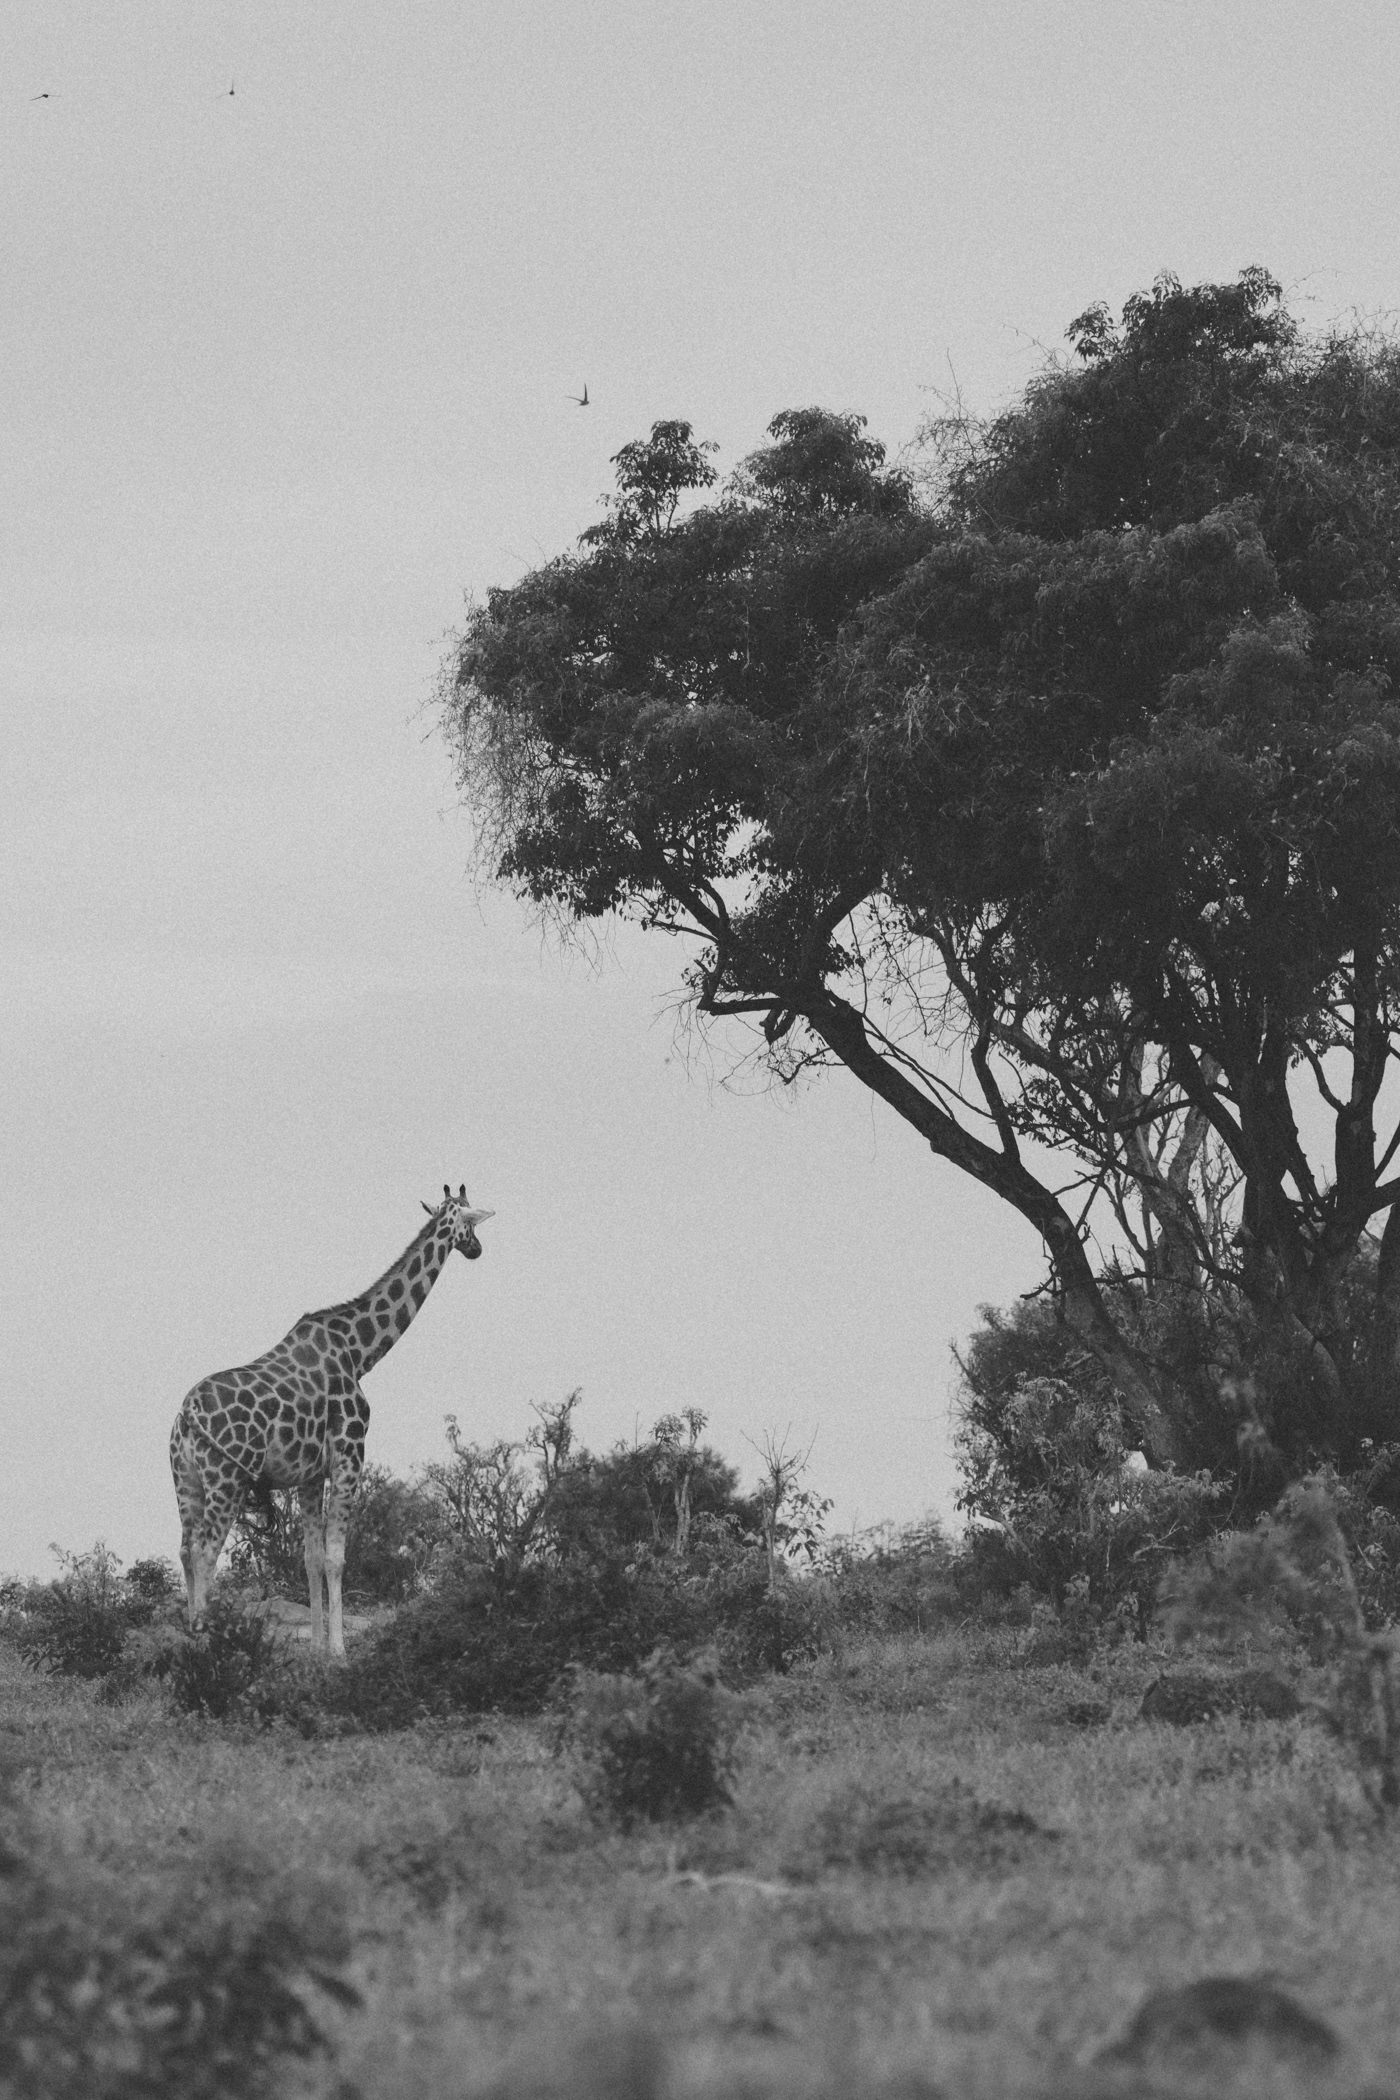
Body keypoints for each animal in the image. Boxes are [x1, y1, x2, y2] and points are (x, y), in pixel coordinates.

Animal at [170, 1185, 493, 1658]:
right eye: (470, 1222)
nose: (476, 1249)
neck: (360, 1352)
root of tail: (187, 1413)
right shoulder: (349, 1455)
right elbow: (337, 1556)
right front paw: (339, 1650)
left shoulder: (308, 1475)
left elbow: (311, 1558)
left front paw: (317, 1648)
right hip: (226, 1479)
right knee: (205, 1550)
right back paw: (207, 1644)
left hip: (185, 1479)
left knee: (185, 1549)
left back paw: (188, 1643)